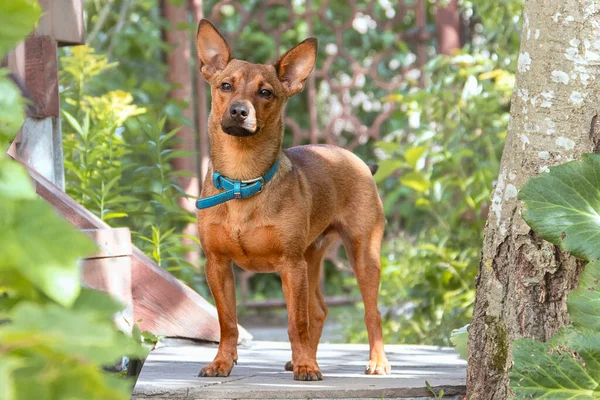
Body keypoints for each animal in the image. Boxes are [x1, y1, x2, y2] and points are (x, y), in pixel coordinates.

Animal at [196, 18, 390, 382]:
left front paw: (305, 367)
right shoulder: (217, 264)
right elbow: (227, 322)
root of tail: (357, 160)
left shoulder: (290, 265)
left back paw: (375, 361)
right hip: (311, 259)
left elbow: (295, 322)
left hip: (362, 256)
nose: (239, 111)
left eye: (266, 92)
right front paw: (222, 362)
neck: (243, 180)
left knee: (370, 313)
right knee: (320, 310)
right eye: (226, 86)